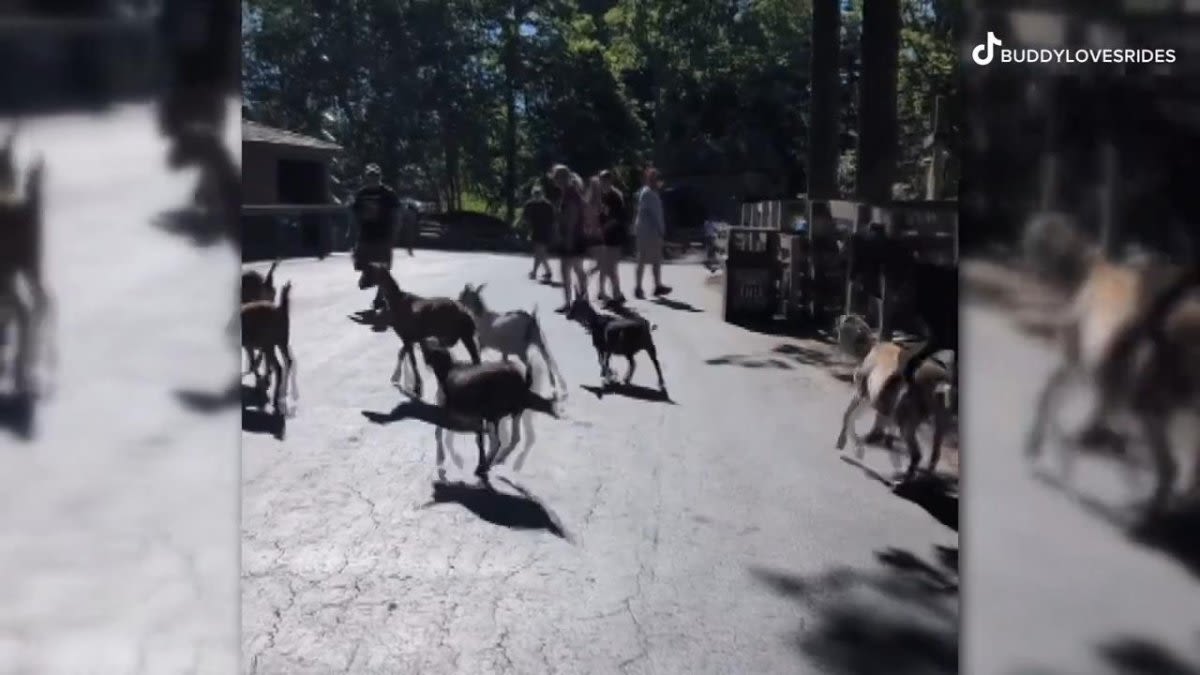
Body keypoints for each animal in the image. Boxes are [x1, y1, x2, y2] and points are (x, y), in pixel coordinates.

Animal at [238, 279, 295, 415]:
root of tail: (281, 309)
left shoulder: (254, 344)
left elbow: (254, 361)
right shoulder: (254, 345)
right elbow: (256, 361)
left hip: (269, 343)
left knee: (278, 367)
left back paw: (275, 399)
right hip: (281, 341)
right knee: (288, 361)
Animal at [355, 263, 482, 398]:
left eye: (367, 272)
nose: (360, 284)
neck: (398, 301)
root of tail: (465, 312)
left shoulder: (406, 338)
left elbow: (412, 361)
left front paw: (416, 387)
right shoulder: (413, 338)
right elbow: (403, 354)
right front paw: (397, 377)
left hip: (463, 336)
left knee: (475, 359)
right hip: (463, 336)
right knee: (475, 359)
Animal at [420, 341, 559, 478]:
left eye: (427, 351)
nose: (425, 363)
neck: (447, 368)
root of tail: (521, 384)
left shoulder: (445, 410)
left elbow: (439, 433)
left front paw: (442, 459)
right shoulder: (477, 417)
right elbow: (478, 440)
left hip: (493, 415)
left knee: (497, 442)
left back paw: (483, 467)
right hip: (512, 413)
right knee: (515, 438)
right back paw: (494, 461)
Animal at [835, 336, 955, 482]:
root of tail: (939, 384)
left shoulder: (863, 394)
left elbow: (848, 416)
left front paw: (849, 446)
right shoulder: (877, 401)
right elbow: (874, 422)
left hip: (906, 423)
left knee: (917, 454)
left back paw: (903, 477)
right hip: (939, 422)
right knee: (935, 454)